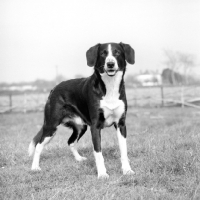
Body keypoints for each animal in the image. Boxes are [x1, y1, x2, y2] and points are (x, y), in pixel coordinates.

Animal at [28, 41, 134, 178]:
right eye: (103, 53)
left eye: (117, 52)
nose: (110, 64)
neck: (109, 86)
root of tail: (54, 89)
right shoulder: (95, 126)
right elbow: (98, 153)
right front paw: (102, 174)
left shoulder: (121, 124)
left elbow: (124, 151)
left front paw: (127, 170)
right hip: (51, 126)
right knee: (39, 145)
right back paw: (35, 167)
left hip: (81, 126)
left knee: (70, 142)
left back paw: (79, 159)